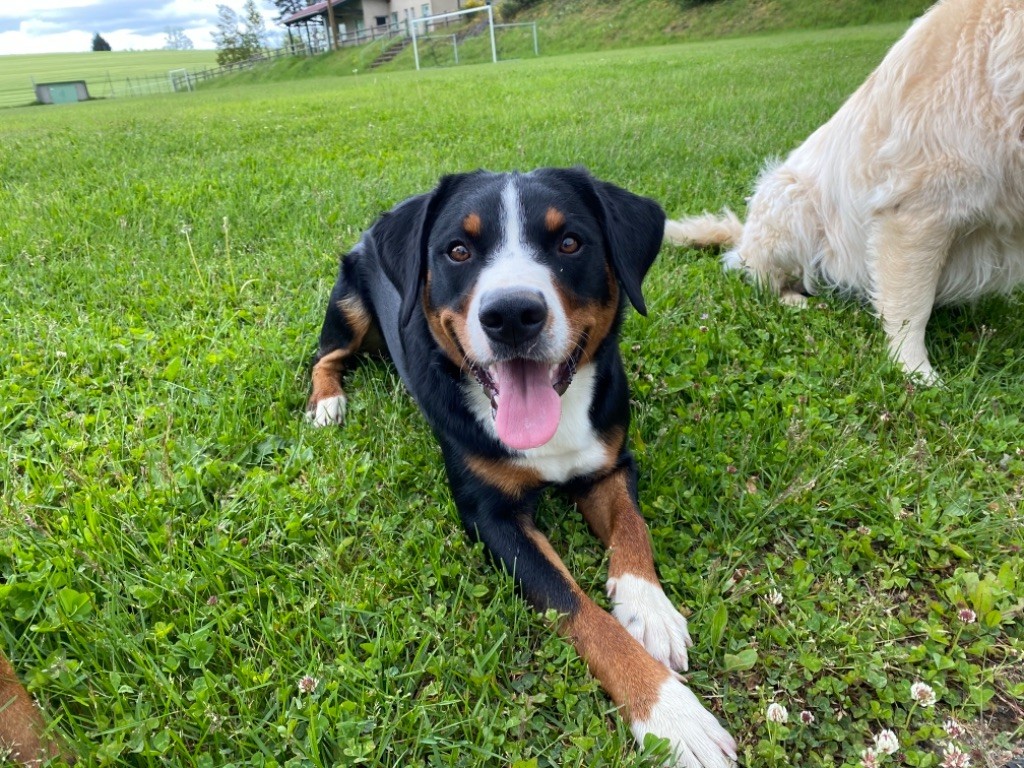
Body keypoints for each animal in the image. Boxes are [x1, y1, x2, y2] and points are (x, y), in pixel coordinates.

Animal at [307, 168, 737, 768]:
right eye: (458, 250)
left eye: (570, 243)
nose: (511, 314)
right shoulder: (491, 516)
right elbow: (575, 606)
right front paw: (671, 715)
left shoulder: (609, 462)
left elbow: (633, 526)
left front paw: (649, 609)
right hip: (348, 306)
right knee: (325, 357)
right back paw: (327, 403)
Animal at [665, 0, 1024, 382]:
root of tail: (745, 235)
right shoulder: (916, 211)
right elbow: (911, 309)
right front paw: (917, 376)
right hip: (792, 204)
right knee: (761, 278)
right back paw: (795, 300)